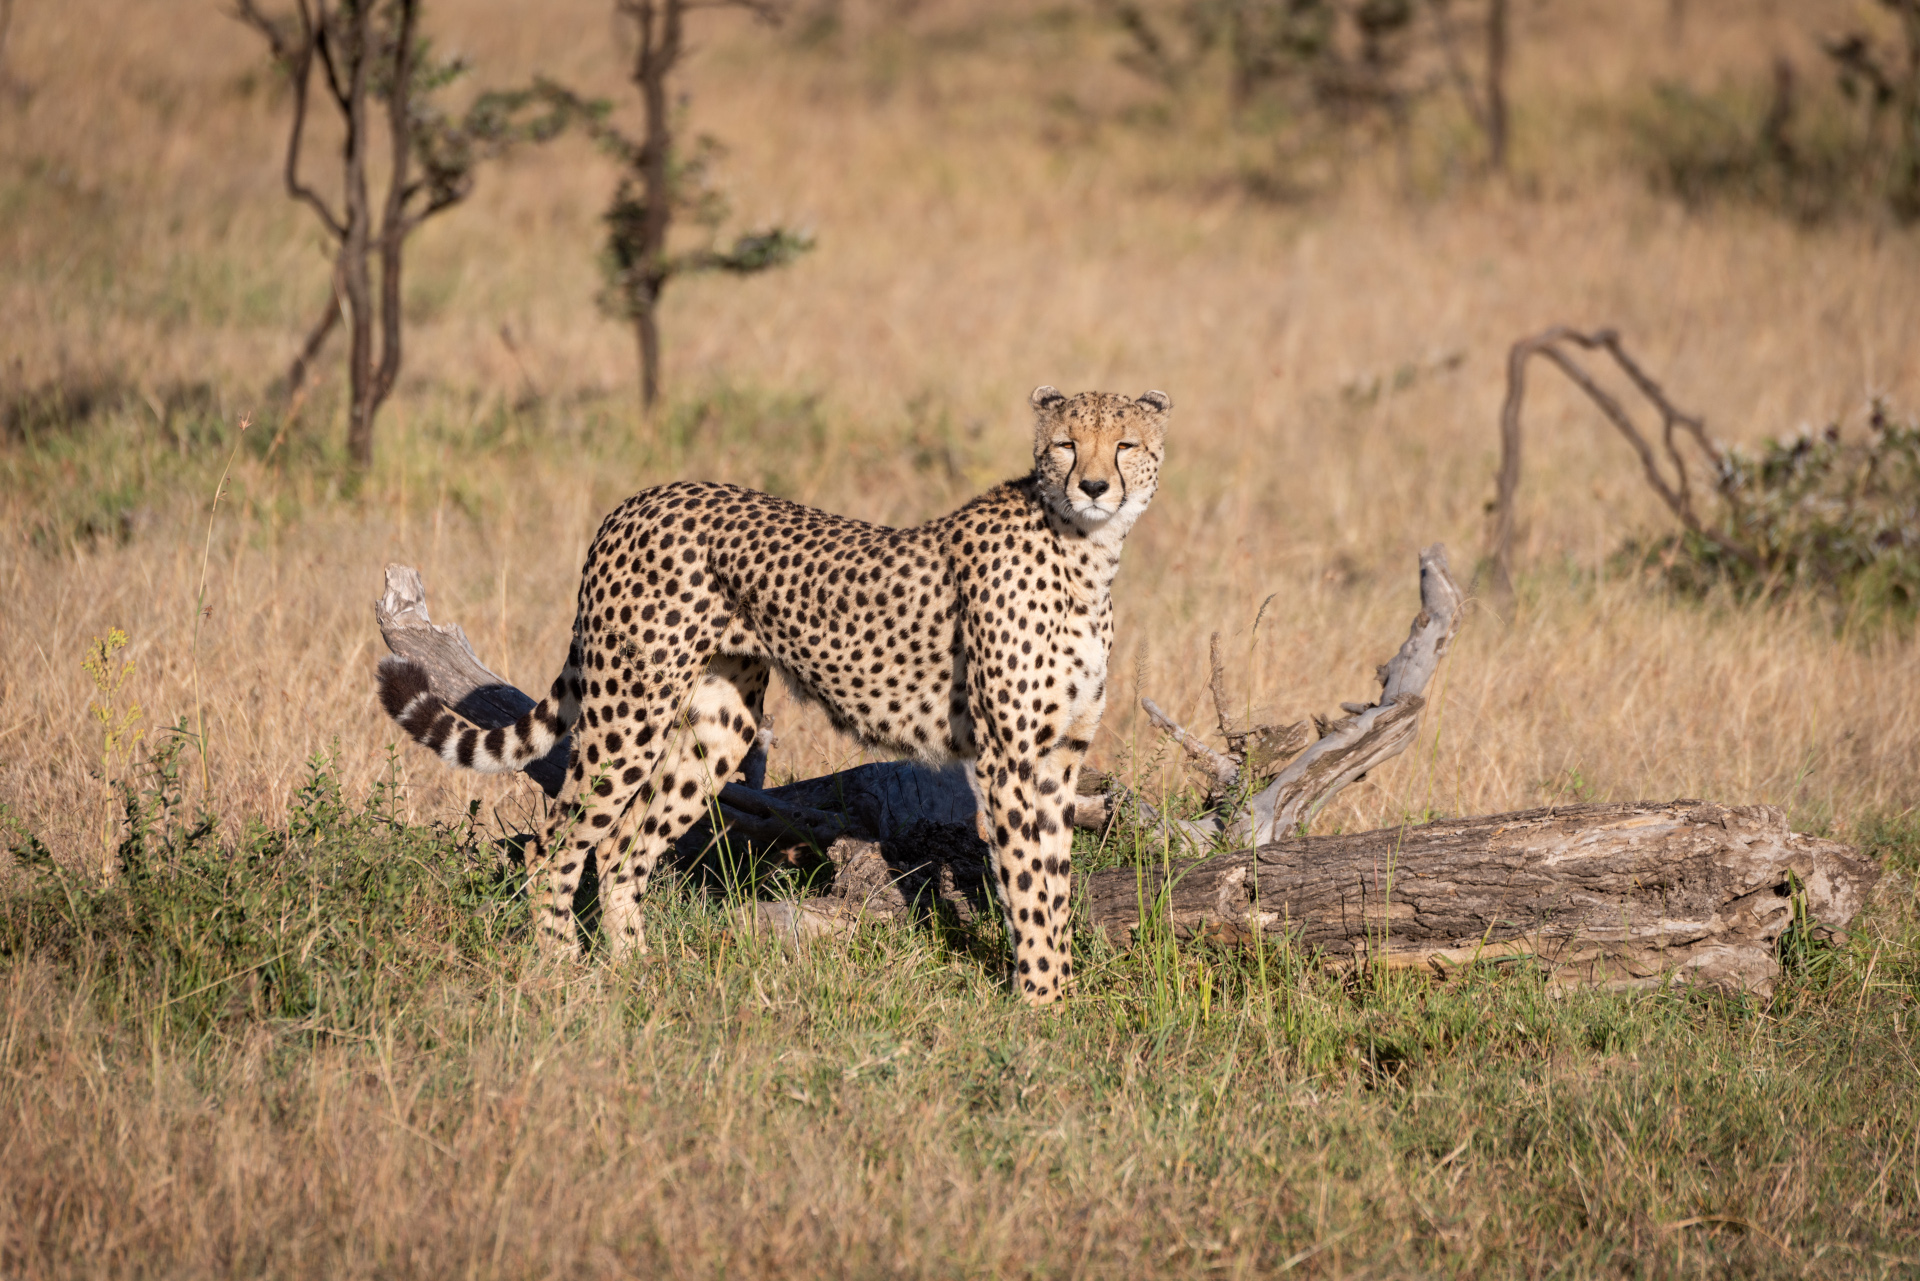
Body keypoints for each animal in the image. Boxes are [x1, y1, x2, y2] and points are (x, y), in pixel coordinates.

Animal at [376, 385, 1170, 1004]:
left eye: (1124, 444)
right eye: (1066, 445)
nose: (1094, 487)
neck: (1084, 552)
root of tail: (640, 498)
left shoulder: (1059, 758)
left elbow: (1055, 881)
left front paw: (1061, 996)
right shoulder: (1008, 758)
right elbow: (1029, 882)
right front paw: (1040, 1006)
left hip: (719, 725)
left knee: (626, 846)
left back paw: (637, 971)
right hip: (629, 707)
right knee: (556, 844)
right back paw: (559, 968)